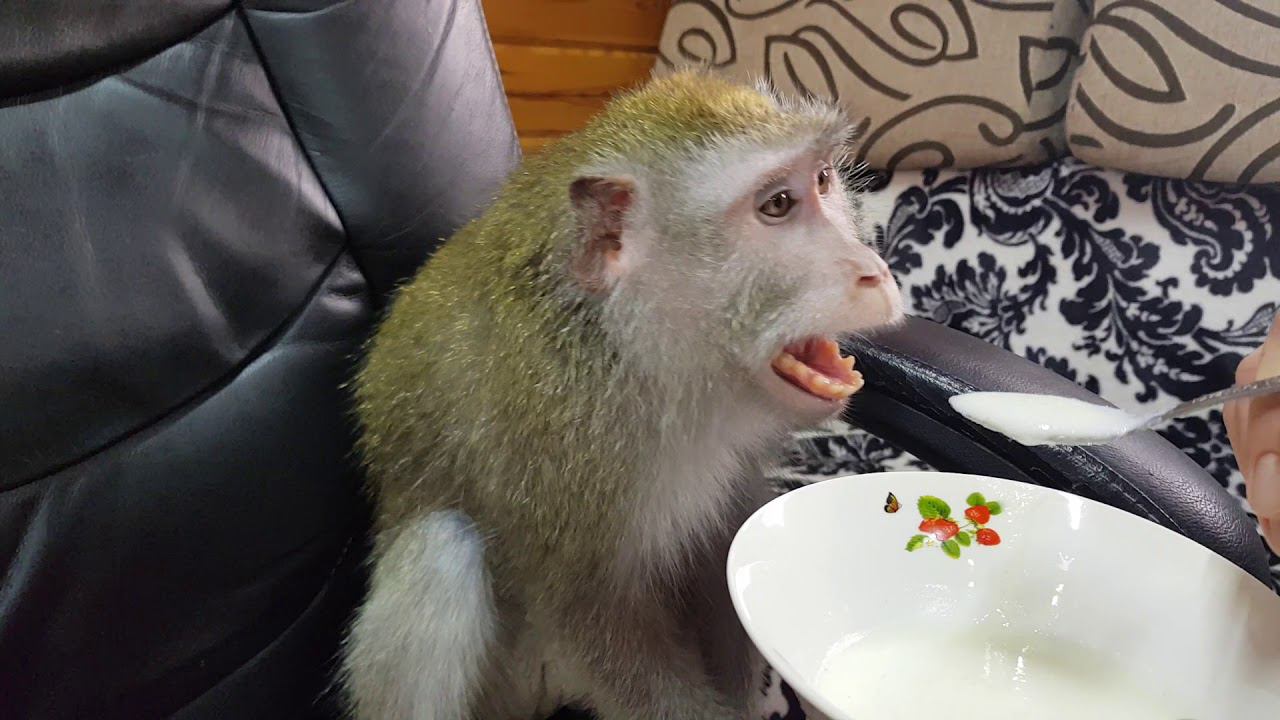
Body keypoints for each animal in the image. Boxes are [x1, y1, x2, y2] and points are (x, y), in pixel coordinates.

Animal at [340, 69, 904, 720]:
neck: (623, 346)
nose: (874, 271)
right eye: (777, 205)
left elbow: (724, 540)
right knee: (442, 551)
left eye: (823, 179)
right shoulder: (565, 445)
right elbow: (589, 618)